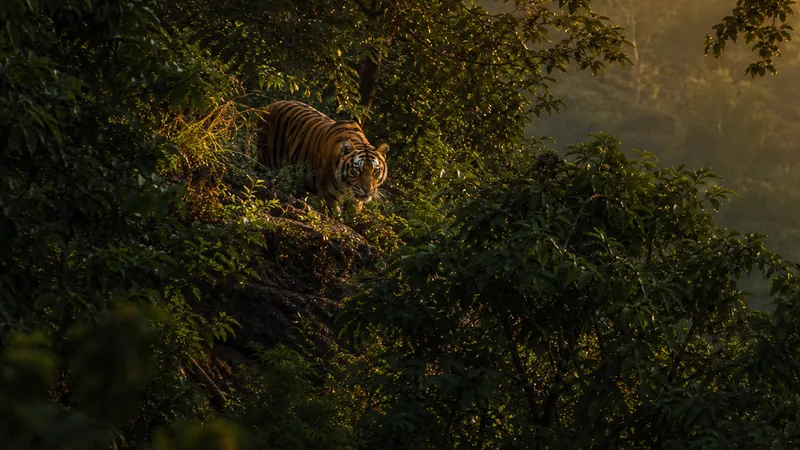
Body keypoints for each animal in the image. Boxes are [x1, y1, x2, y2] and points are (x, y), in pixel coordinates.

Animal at [256, 100, 389, 214]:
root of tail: (271, 105)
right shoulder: (330, 197)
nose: (367, 190)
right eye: (357, 169)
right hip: (266, 163)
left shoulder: (356, 201)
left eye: (375, 170)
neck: (347, 185)